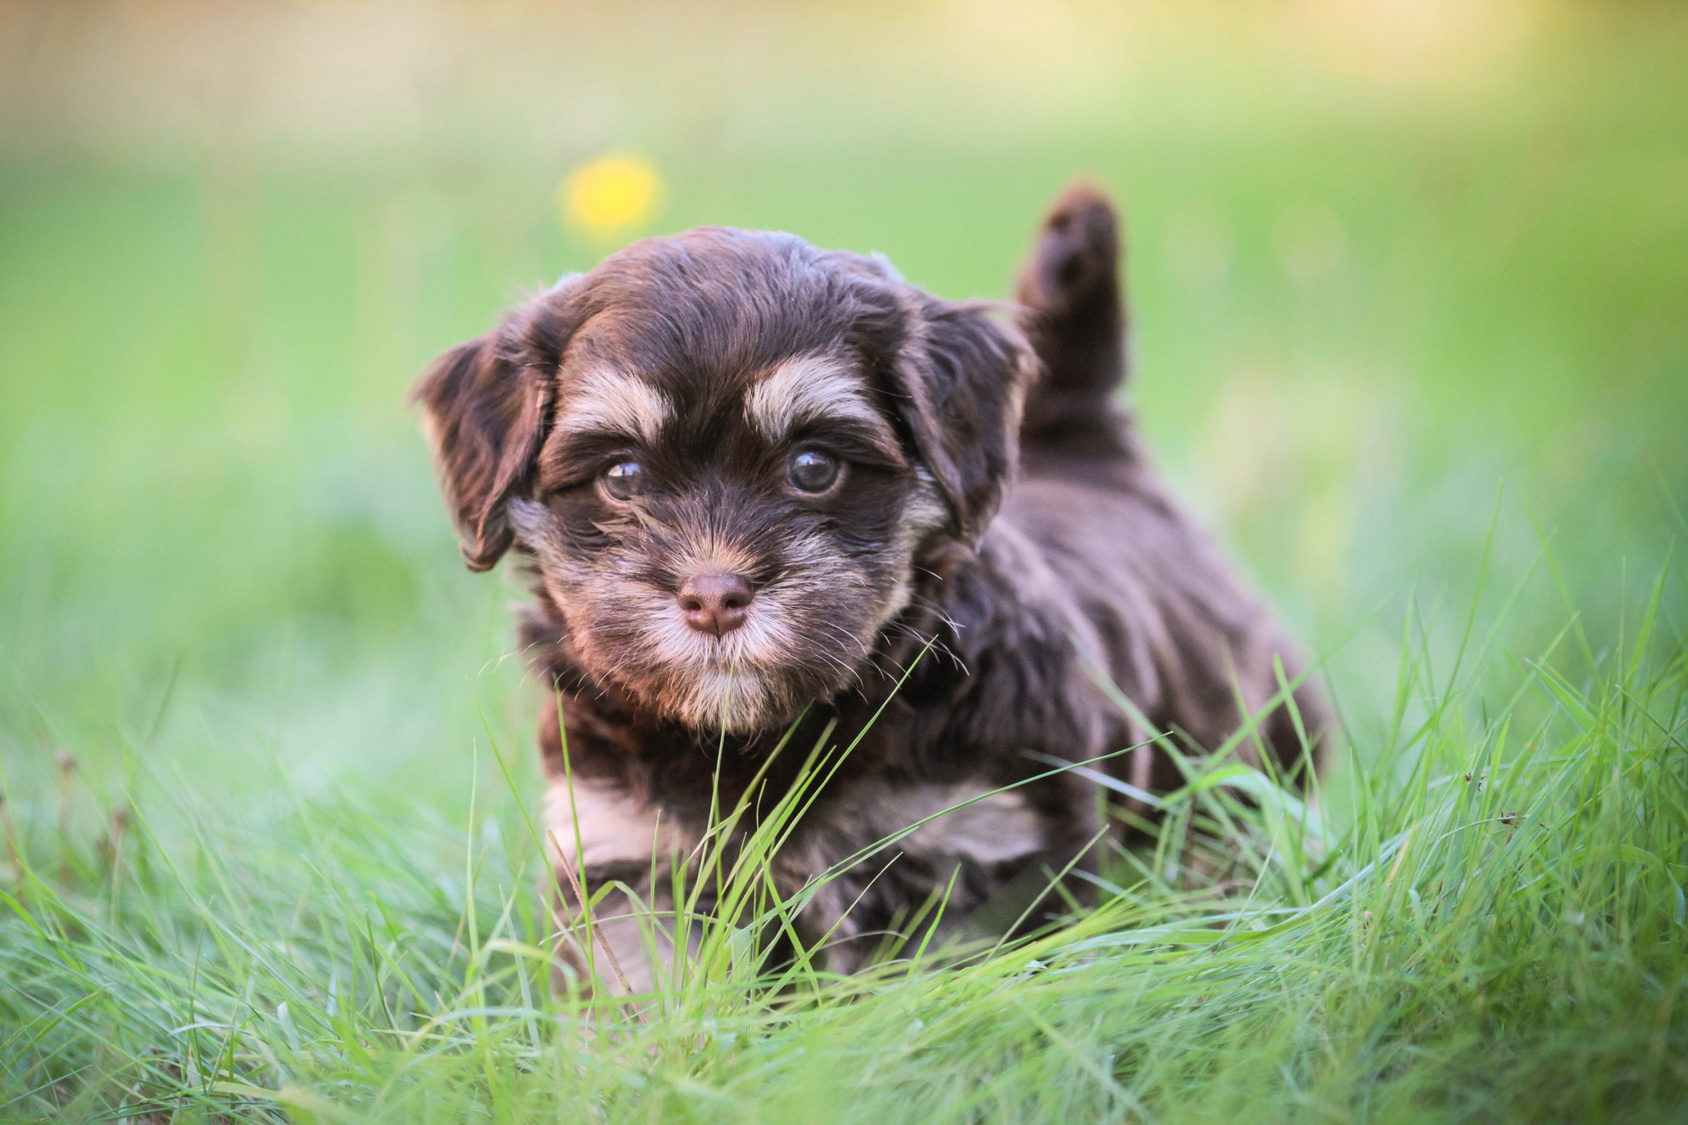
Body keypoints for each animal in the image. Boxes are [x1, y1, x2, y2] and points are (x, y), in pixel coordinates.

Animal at [411, 181, 1330, 979]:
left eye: (814, 466)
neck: (768, 735)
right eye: (623, 477)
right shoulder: (629, 858)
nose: (714, 595)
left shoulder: (991, 846)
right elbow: (649, 992)